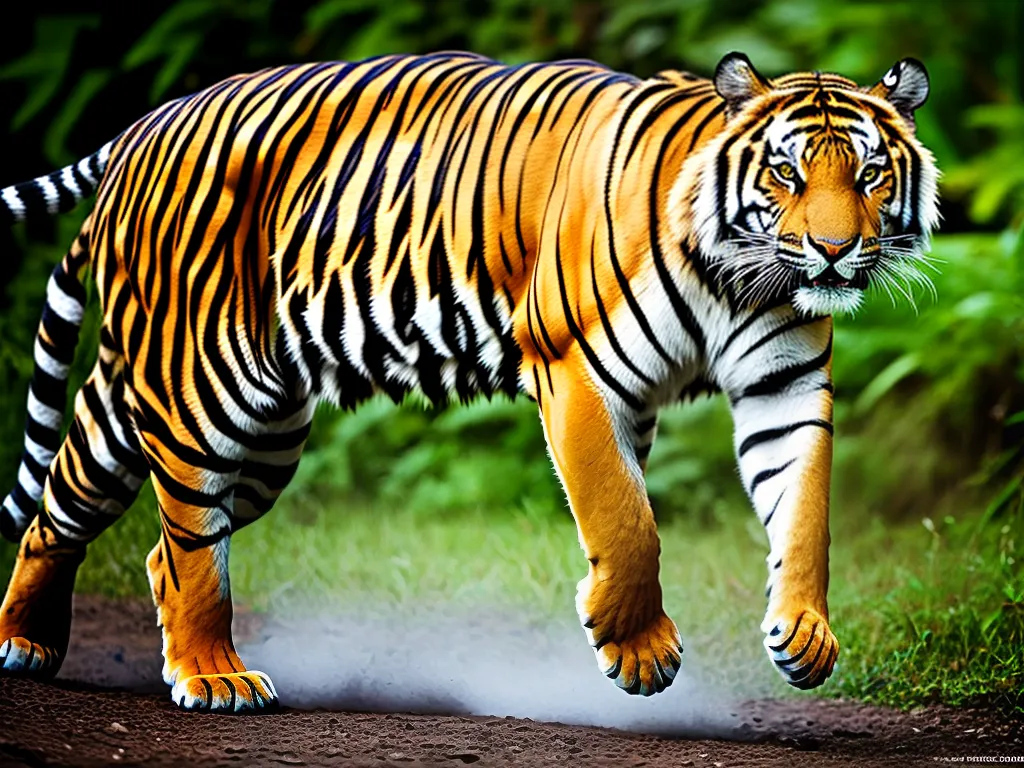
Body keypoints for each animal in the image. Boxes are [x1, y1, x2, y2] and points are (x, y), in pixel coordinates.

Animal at [0, 51, 938, 712]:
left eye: (869, 174)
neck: (741, 276)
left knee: (98, 517)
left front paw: (804, 636)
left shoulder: (787, 387)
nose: (832, 251)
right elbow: (624, 517)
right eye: (786, 172)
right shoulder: (575, 364)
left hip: (250, 430)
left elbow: (805, 511)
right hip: (200, 388)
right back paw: (208, 676)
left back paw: (36, 644)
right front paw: (636, 651)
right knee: (185, 541)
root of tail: (145, 125)